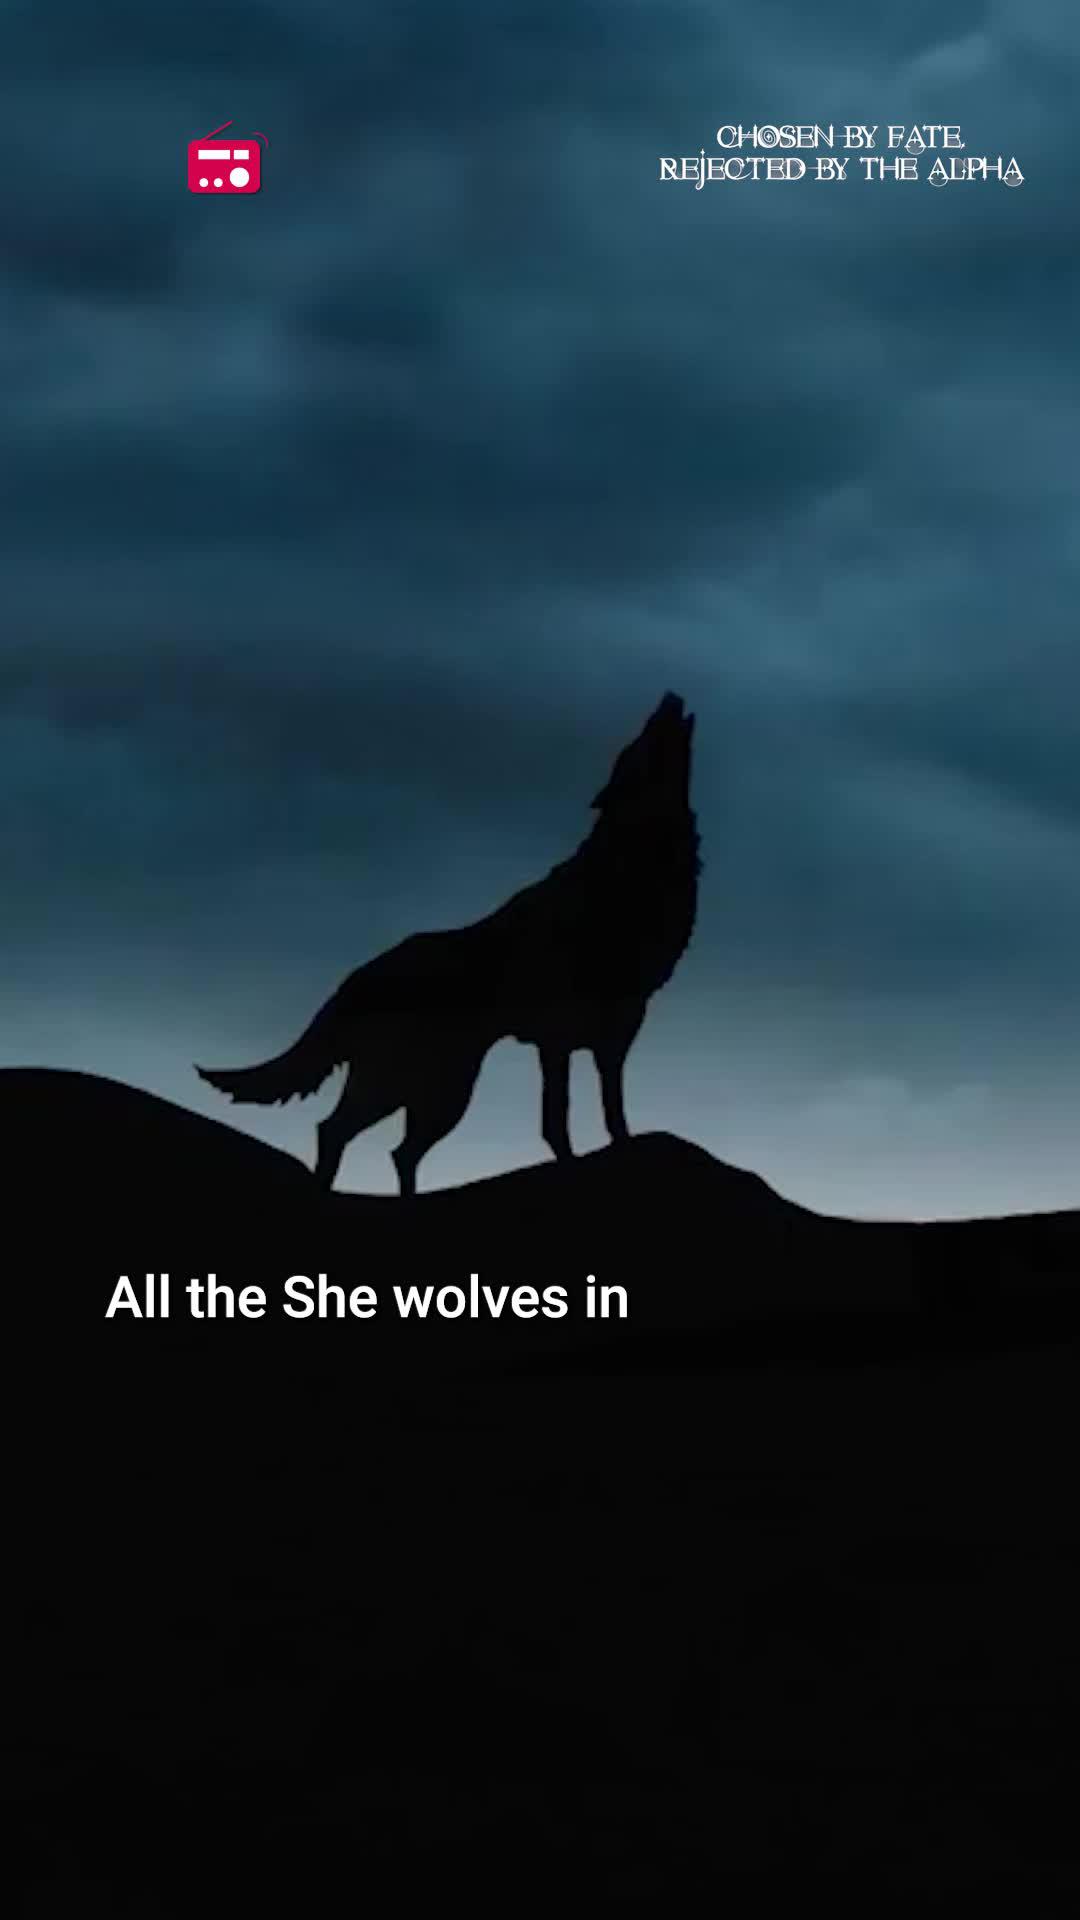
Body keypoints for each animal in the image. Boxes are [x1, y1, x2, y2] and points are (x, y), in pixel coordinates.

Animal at [196, 691, 700, 1196]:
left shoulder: (617, 1033)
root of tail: (358, 976)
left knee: (398, 1150)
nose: (669, 696)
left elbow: (612, 1111)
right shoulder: (558, 1039)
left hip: (440, 1090)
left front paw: (621, 1148)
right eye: (638, 743)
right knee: (336, 1130)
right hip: (409, 1084)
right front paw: (573, 1165)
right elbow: (558, 1118)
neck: (625, 872)